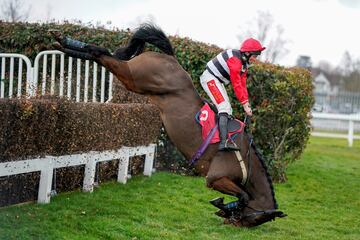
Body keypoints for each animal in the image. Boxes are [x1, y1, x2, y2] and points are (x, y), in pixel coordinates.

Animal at [51, 23, 286, 227]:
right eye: (257, 220)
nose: (235, 224)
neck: (245, 156)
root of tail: (171, 57)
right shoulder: (215, 177)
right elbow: (244, 195)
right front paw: (224, 206)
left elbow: (242, 194)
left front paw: (223, 208)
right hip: (135, 77)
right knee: (102, 53)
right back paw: (63, 40)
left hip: (136, 82)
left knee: (103, 54)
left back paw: (62, 43)